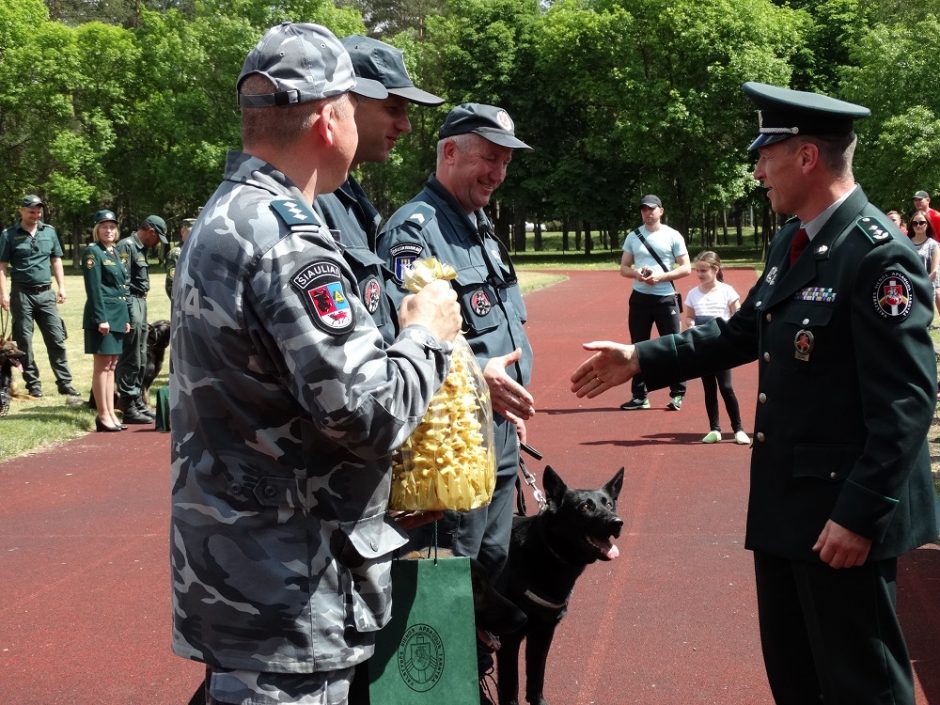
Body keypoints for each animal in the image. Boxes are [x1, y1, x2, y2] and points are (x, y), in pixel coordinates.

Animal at [496, 464, 628, 700]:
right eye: (585, 507)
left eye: (609, 504)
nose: (617, 522)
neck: (546, 553)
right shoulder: (510, 639)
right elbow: (511, 688)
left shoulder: (543, 632)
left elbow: (536, 680)